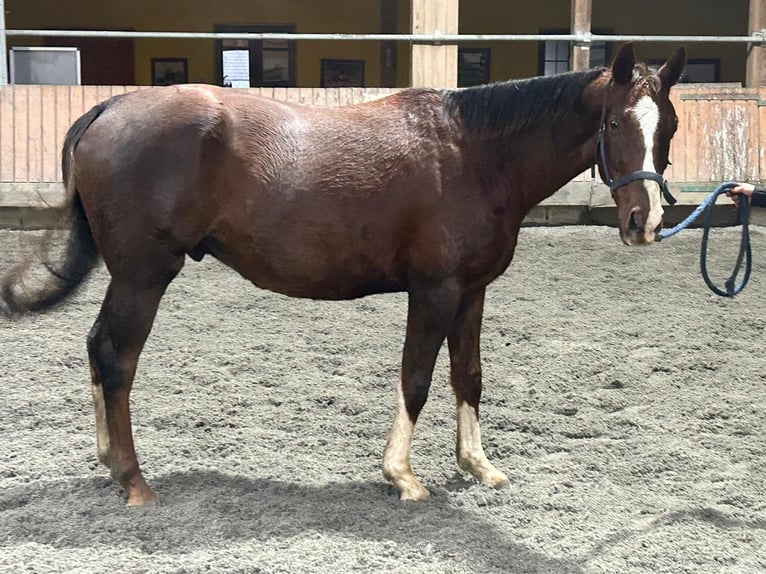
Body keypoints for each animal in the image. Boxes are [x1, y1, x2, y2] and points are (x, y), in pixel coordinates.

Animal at [1, 43, 686, 506]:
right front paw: (402, 476)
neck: (475, 154)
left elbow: (468, 376)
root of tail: (110, 106)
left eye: (671, 126)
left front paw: (476, 465)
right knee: (115, 356)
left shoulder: (471, 293)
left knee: (98, 349)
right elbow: (417, 378)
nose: (645, 220)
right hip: (143, 276)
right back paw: (134, 480)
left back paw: (109, 462)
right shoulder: (433, 292)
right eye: (617, 123)